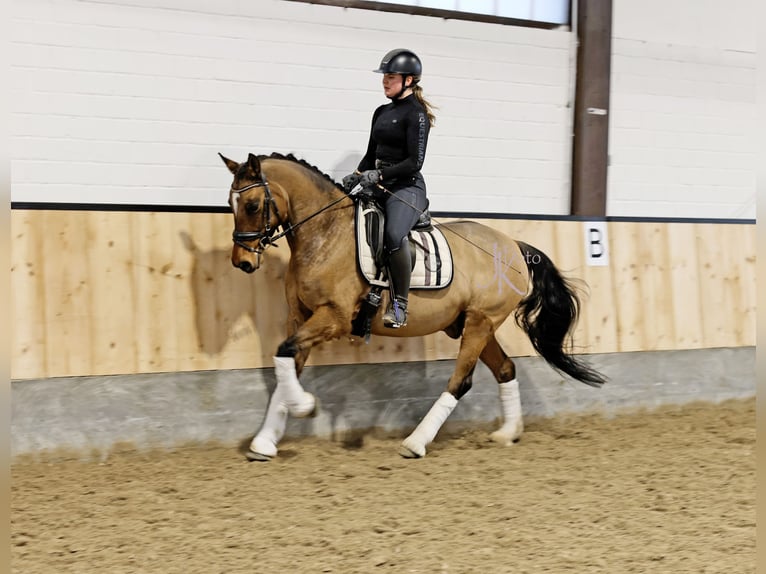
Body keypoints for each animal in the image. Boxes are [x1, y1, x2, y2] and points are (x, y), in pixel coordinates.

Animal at [218, 153, 608, 464]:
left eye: (252, 205)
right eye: (230, 205)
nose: (241, 262)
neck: (324, 235)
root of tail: (513, 245)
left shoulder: (333, 317)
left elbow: (285, 355)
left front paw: (304, 406)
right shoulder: (299, 317)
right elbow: (285, 363)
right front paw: (265, 441)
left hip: (481, 323)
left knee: (460, 381)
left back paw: (416, 443)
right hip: (474, 324)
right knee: (506, 369)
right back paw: (507, 434)